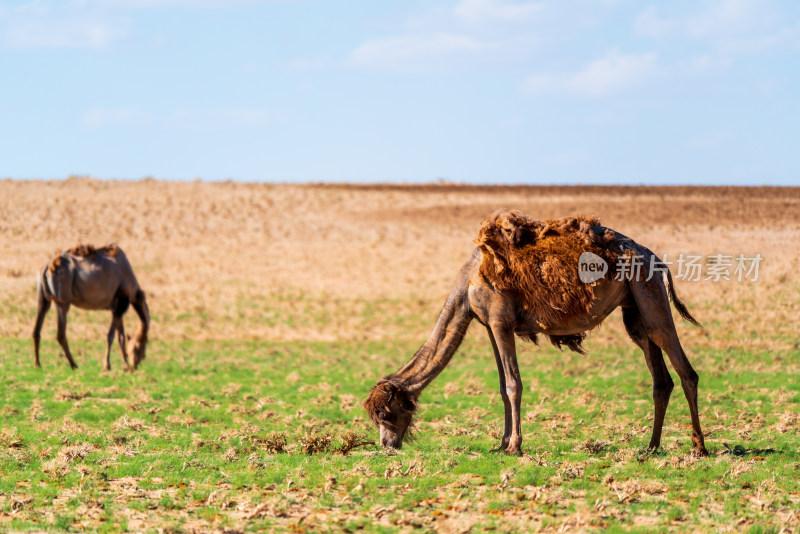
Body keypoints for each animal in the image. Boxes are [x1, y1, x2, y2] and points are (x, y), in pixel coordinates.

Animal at [366, 211, 708, 458]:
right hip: (633, 307)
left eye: (385, 412)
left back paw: (699, 448)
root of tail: (657, 260)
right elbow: (502, 386)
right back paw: (651, 447)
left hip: (649, 291)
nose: (386, 444)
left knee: (684, 368)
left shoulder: (500, 320)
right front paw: (502, 444)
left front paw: (514, 446)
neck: (467, 286)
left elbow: (513, 385)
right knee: (660, 377)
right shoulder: (491, 326)